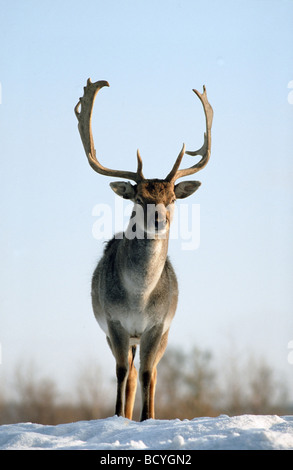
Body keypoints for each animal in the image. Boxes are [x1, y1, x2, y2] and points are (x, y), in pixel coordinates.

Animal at [75, 79, 212, 420]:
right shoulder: (114, 322)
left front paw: (148, 418)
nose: (160, 219)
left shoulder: (159, 325)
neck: (139, 298)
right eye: (139, 198)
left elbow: (150, 373)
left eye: (172, 199)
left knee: (151, 371)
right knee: (131, 371)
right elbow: (123, 372)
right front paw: (118, 416)